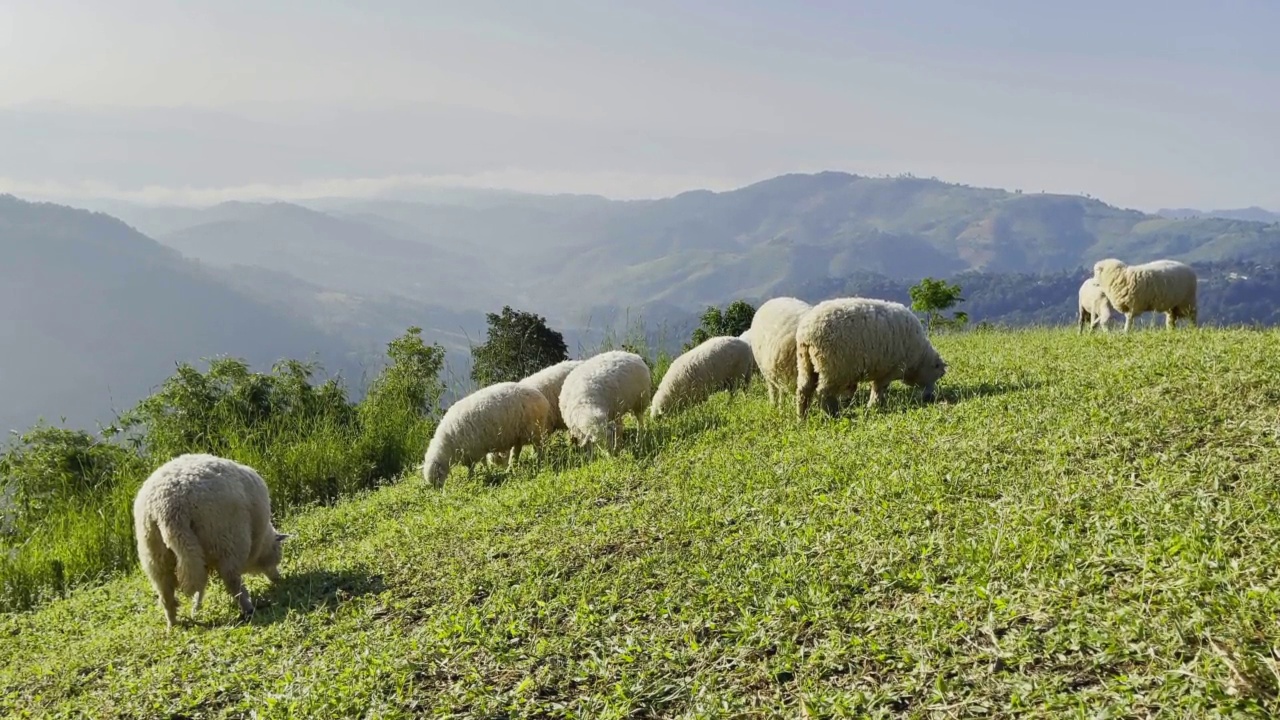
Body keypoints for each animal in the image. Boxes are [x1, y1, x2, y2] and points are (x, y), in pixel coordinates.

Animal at [131, 453, 289, 627]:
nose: (278, 578)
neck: (261, 539)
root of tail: (166, 508)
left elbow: (200, 587)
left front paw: (195, 608)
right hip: (225, 539)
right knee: (232, 579)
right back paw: (248, 608)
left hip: (156, 556)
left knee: (166, 594)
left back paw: (172, 624)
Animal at [793, 295, 947, 417]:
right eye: (937, 375)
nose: (930, 397)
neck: (919, 359)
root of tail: (807, 333)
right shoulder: (890, 370)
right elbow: (879, 388)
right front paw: (874, 405)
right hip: (833, 367)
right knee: (823, 392)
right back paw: (833, 414)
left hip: (805, 363)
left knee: (803, 390)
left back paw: (802, 417)